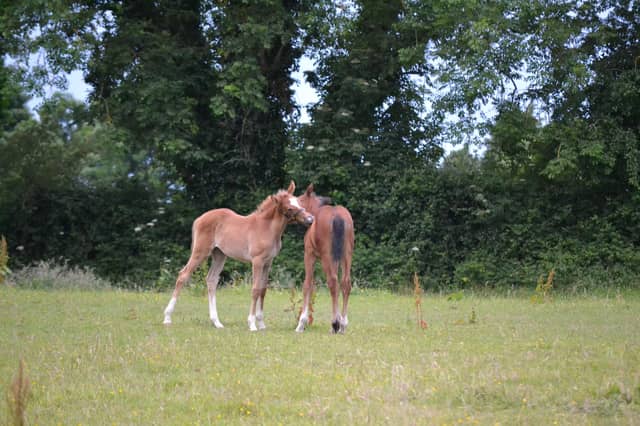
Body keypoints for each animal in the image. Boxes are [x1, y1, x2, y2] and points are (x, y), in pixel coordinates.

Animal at [163, 181, 314, 331]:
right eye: (289, 208)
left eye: (299, 202)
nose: (310, 219)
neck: (267, 228)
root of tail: (199, 219)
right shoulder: (257, 261)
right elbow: (255, 289)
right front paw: (252, 324)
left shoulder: (268, 262)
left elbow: (263, 290)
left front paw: (261, 323)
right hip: (200, 252)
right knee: (183, 275)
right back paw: (167, 317)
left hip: (219, 255)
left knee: (211, 280)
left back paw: (216, 322)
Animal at [295, 184, 354, 334]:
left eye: (299, 201)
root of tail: (337, 216)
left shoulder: (309, 254)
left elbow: (307, 284)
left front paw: (301, 323)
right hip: (346, 254)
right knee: (345, 282)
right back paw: (343, 324)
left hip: (327, 256)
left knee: (332, 282)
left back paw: (335, 324)